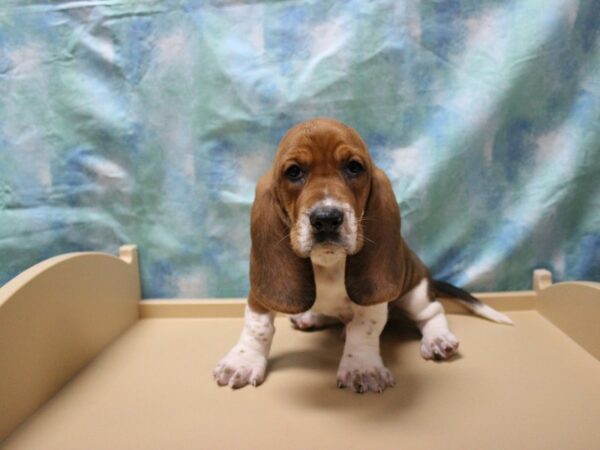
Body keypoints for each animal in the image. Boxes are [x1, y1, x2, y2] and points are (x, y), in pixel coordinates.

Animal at [213, 118, 512, 392]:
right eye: (294, 172)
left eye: (353, 167)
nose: (326, 219)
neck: (328, 262)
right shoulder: (260, 295)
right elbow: (257, 326)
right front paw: (242, 362)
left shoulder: (373, 300)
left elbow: (364, 328)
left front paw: (362, 368)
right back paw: (311, 317)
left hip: (415, 293)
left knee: (432, 312)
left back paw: (438, 339)